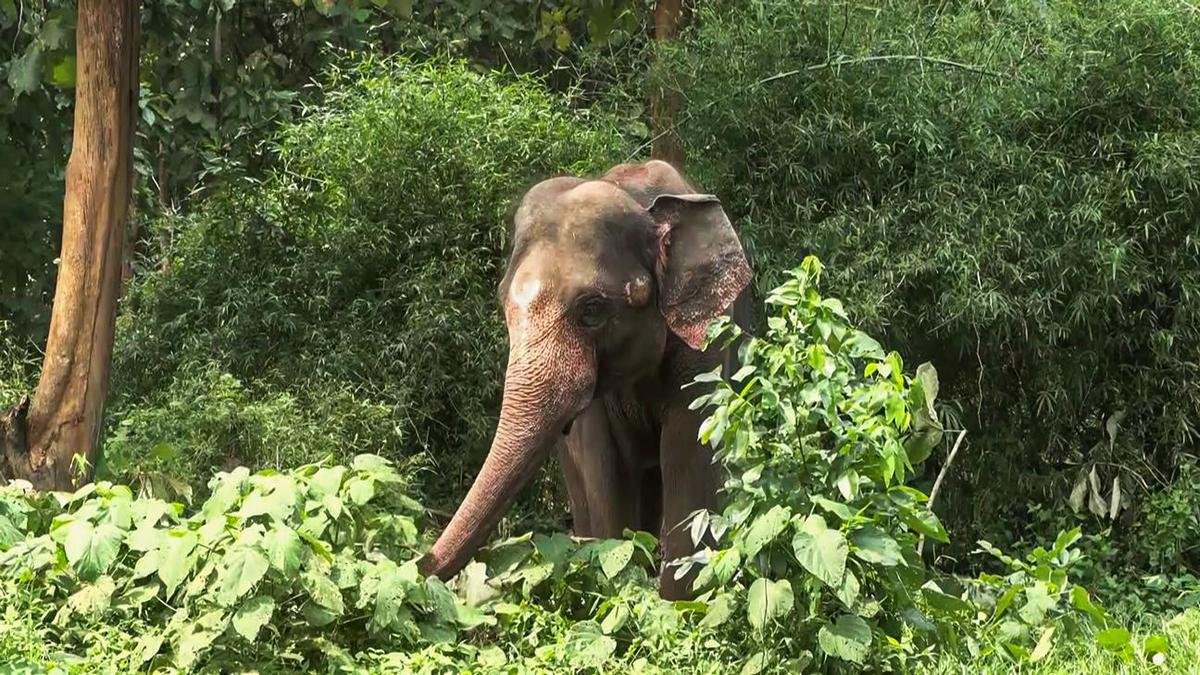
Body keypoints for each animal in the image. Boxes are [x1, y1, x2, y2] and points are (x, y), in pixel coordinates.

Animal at [419, 159, 752, 599]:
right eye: (502, 301)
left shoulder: (707, 339)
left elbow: (689, 455)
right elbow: (604, 467)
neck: (638, 199)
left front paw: (678, 605)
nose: (419, 565)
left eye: (592, 309)